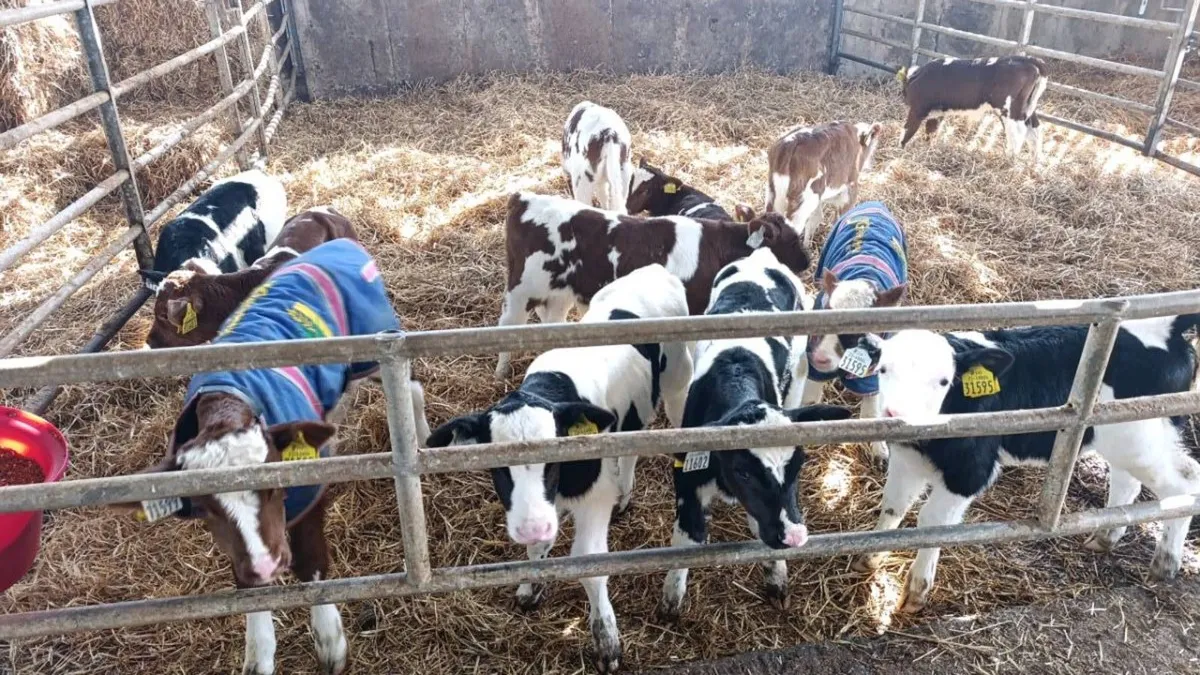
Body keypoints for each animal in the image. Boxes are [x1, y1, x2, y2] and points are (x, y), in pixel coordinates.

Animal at [428, 264, 694, 673]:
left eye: (553, 461)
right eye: (498, 467)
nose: (532, 526)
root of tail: (654, 270)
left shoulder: (593, 498)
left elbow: (588, 563)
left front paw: (606, 640)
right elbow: (538, 549)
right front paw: (531, 584)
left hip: (680, 380)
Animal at [495, 192, 810, 378]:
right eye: (793, 239)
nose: (807, 262)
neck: (717, 247)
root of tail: (523, 197)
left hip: (559, 294)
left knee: (551, 323)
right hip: (520, 290)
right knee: (508, 326)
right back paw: (500, 372)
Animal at [897, 55, 1049, 163]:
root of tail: (1027, 59)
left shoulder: (917, 109)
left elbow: (906, 131)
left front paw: (899, 151)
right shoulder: (937, 113)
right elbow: (930, 133)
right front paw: (928, 151)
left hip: (1010, 110)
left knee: (1017, 133)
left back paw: (1008, 160)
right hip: (1028, 108)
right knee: (1035, 130)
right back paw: (1036, 162)